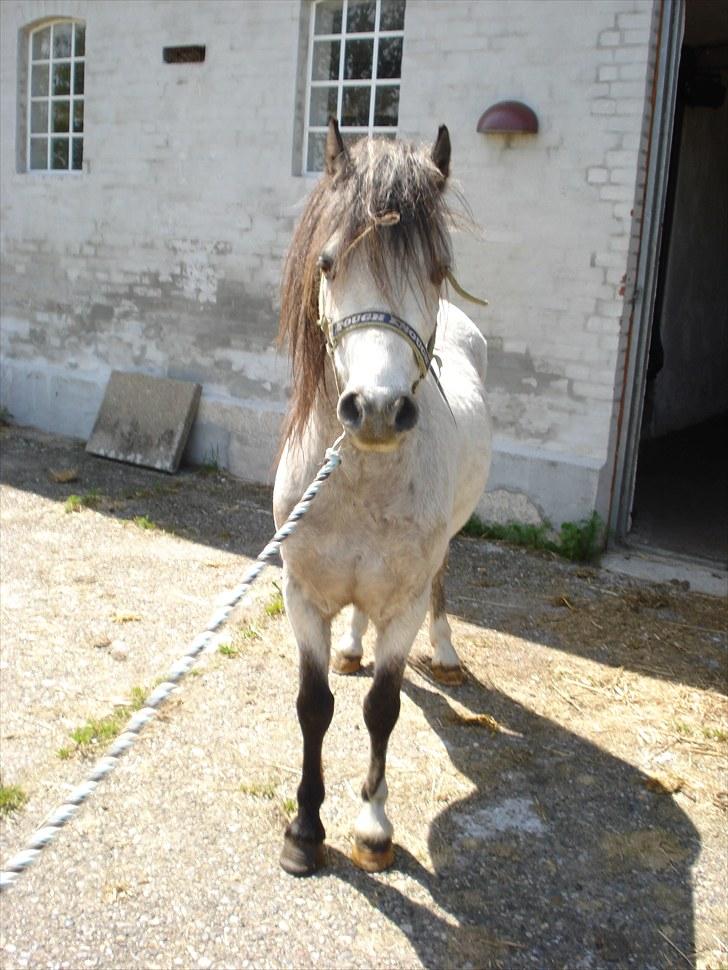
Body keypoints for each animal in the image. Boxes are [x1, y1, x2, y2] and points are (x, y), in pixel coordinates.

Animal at [273, 118, 492, 876]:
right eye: (328, 263)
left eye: (436, 269)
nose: (374, 410)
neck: (361, 485)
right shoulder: (302, 595)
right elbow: (314, 706)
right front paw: (305, 830)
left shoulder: (401, 607)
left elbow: (381, 710)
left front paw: (371, 826)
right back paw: (349, 646)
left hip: (446, 547)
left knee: (444, 583)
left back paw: (447, 654)